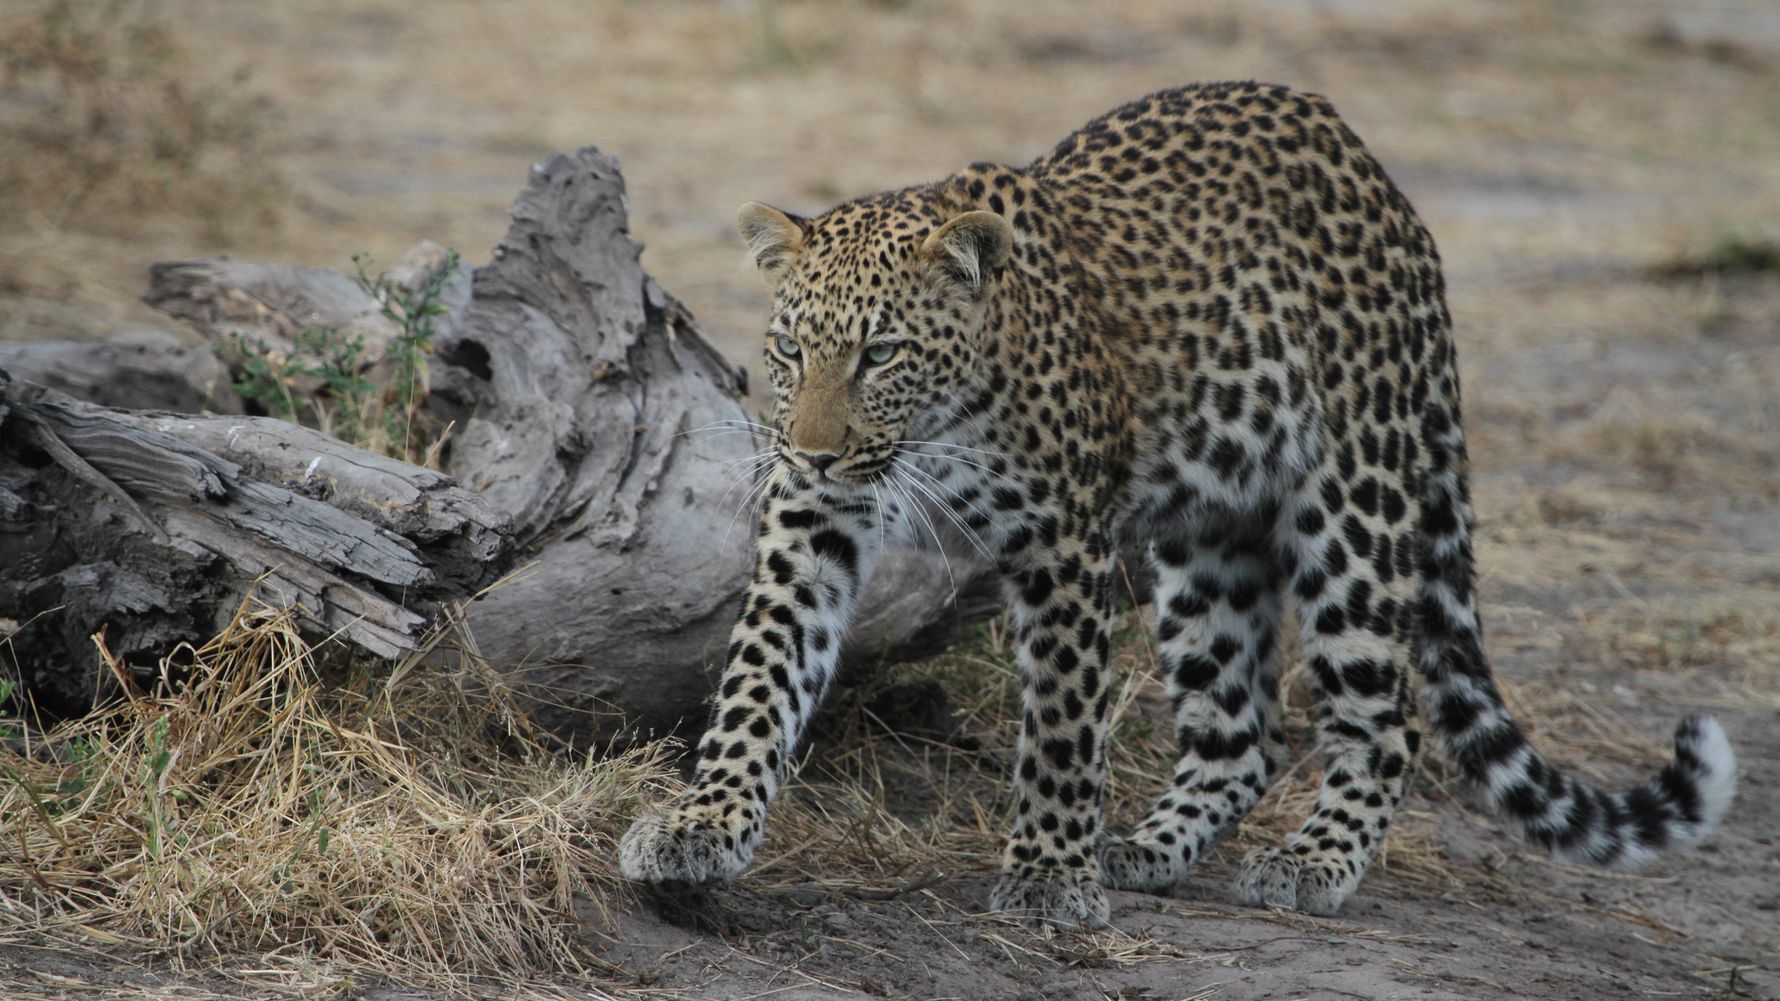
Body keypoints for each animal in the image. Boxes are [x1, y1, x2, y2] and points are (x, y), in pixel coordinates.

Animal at [618, 81, 1738, 927]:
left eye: (881, 353)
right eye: (789, 348)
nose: (809, 447)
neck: (942, 421)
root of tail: (1382, 182)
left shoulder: (1061, 544)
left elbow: (1063, 720)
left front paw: (1049, 874)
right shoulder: (813, 524)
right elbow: (761, 675)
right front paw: (702, 823)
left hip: (1352, 505)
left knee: (1388, 716)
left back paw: (1313, 860)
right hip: (1207, 537)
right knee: (1244, 732)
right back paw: (1146, 847)